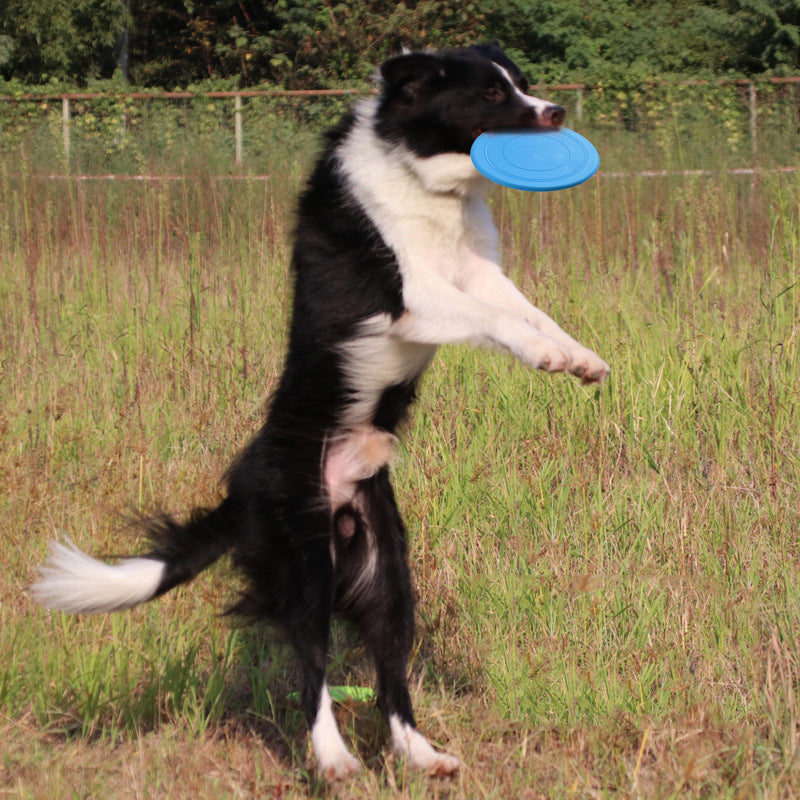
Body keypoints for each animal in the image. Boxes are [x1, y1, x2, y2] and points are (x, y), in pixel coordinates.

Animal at [29, 42, 608, 780]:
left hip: (386, 571)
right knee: (313, 671)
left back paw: (424, 757)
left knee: (390, 676)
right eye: (490, 95)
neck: (427, 183)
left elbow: (531, 310)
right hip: (304, 563)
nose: (556, 112)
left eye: (522, 86)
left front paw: (579, 357)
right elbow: (502, 321)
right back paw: (334, 761)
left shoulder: (480, 273)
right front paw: (545, 355)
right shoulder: (414, 294)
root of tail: (241, 492)